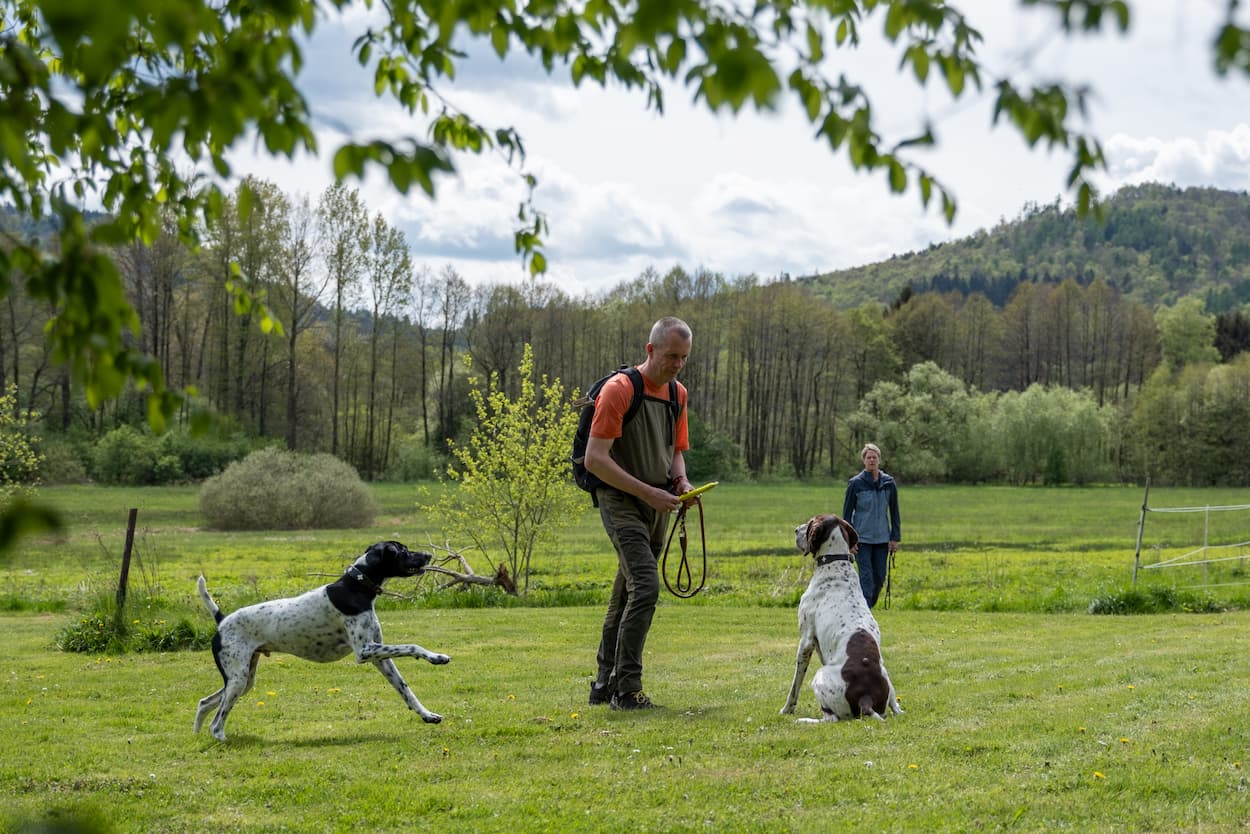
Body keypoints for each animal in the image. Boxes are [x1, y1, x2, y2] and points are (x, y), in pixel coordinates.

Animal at [780, 515, 900, 725]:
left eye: (810, 522)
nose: (795, 529)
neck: (835, 563)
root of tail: (866, 699)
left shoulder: (806, 641)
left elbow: (795, 685)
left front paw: (787, 709)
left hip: (819, 675)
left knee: (831, 719)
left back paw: (806, 720)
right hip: (887, 677)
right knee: (895, 706)